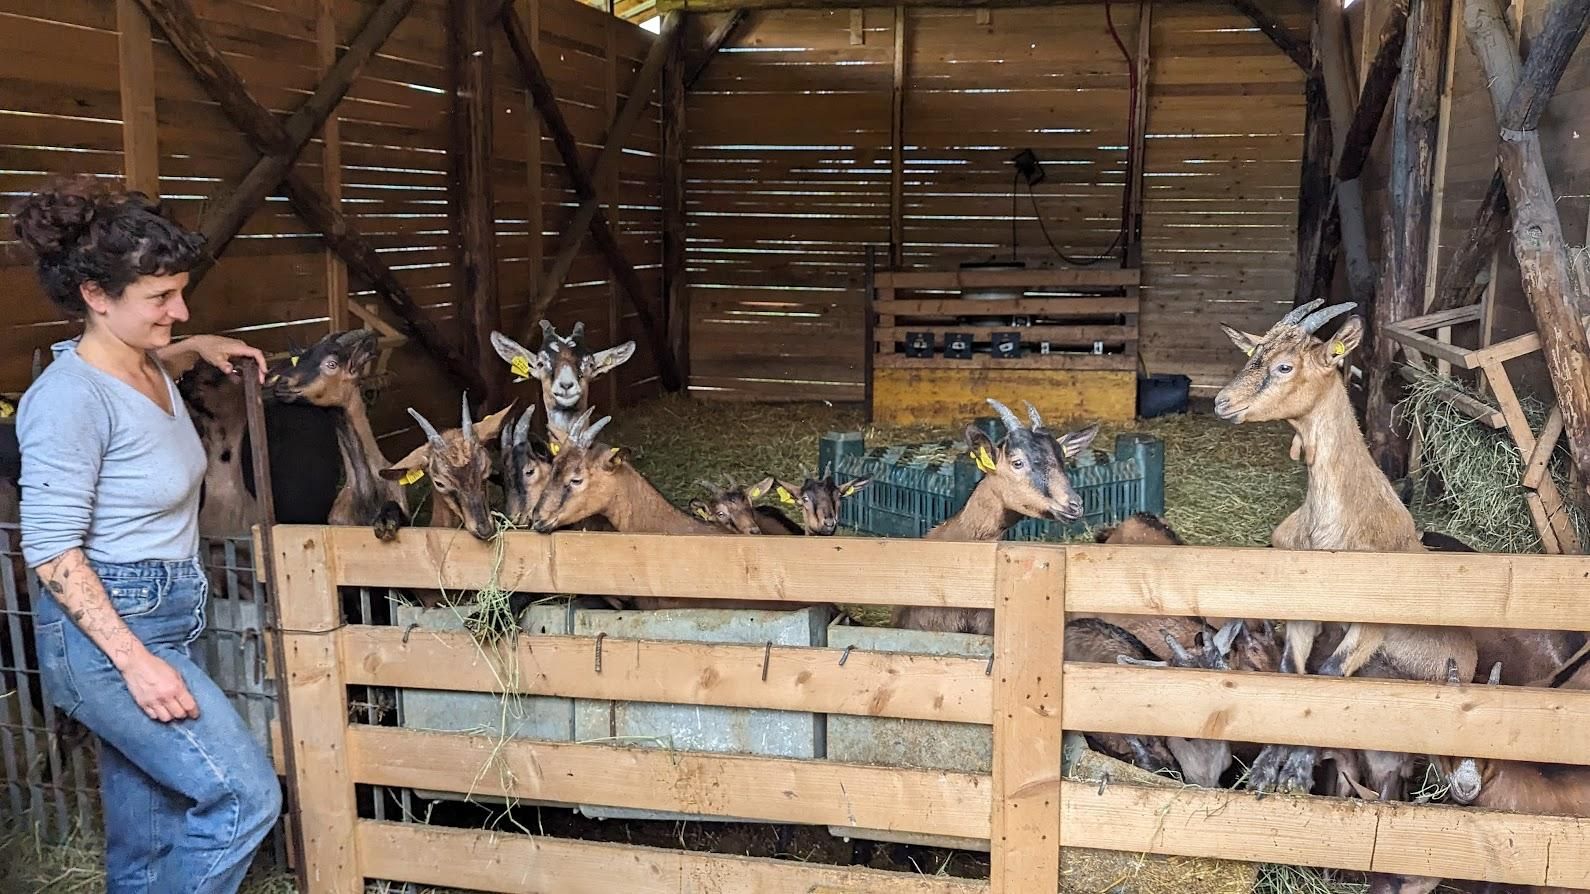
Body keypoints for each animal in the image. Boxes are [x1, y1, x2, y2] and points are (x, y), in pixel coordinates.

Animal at [1214, 299, 1478, 794]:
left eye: (1285, 365)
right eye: (1253, 353)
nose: (1223, 402)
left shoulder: (1370, 625)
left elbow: (1330, 678)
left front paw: (1295, 773)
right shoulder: (1303, 613)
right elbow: (1293, 673)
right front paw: (1265, 771)